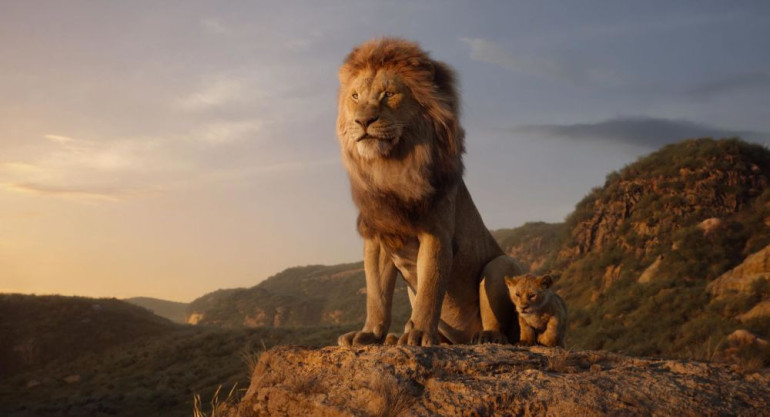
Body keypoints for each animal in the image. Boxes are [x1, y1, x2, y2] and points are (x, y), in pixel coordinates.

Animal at [335, 38, 523, 346]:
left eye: (389, 94)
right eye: (355, 96)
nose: (363, 121)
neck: (391, 167)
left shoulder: (436, 234)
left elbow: (430, 289)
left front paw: (420, 333)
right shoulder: (378, 238)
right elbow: (376, 295)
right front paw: (369, 333)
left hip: (500, 265)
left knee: (501, 325)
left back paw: (486, 336)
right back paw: (396, 337)